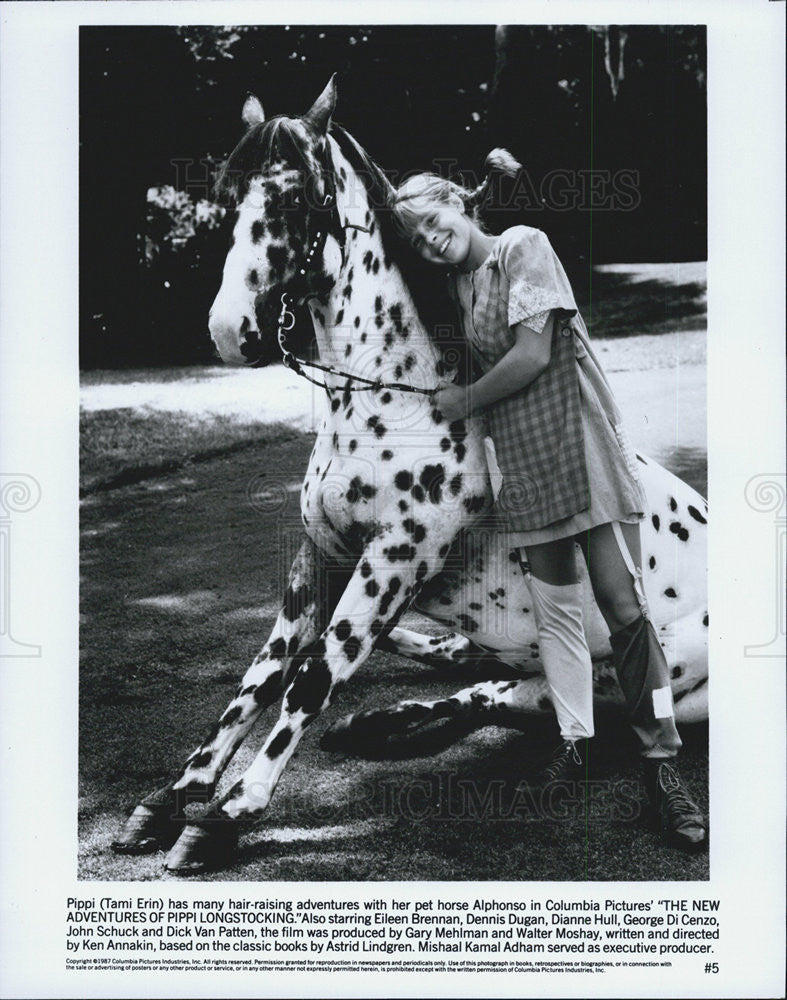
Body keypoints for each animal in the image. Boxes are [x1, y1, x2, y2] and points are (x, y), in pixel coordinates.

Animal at [111, 80, 708, 876]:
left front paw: (226, 816)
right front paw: (170, 799)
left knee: (525, 698)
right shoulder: (321, 559)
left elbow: (314, 674)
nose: (230, 330)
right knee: (480, 679)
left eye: (296, 197)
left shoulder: (393, 562)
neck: (391, 399)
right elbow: (262, 675)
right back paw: (378, 719)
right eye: (229, 194)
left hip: (641, 677)